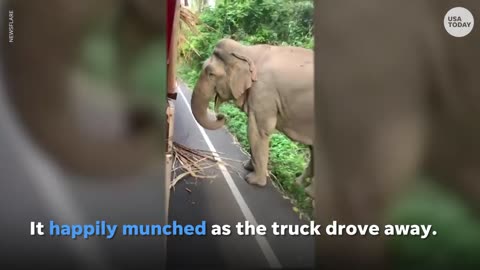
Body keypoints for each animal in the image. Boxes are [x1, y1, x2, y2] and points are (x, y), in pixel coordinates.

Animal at [191, 39, 316, 191]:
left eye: (211, 74)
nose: (221, 116)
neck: (247, 51)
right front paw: (247, 167)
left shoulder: (264, 91)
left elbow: (256, 131)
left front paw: (253, 181)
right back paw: (298, 186)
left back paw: (308, 192)